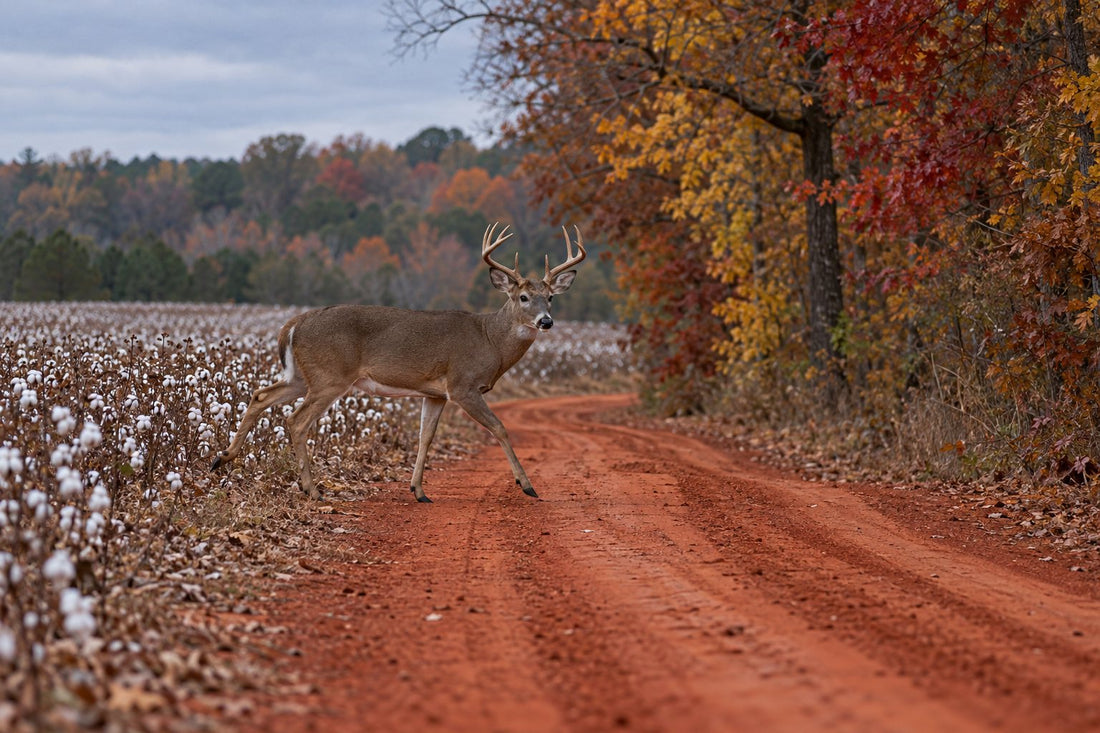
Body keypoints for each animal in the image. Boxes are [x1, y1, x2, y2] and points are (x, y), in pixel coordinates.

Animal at [210, 222, 586, 503]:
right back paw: (311, 489)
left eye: (550, 298)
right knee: (296, 420)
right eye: (523, 297)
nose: (546, 321)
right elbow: (500, 427)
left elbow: (425, 437)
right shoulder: (462, 385)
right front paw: (527, 485)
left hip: (301, 375)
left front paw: (418, 490)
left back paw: (222, 458)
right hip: (330, 376)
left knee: (260, 395)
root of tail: (293, 324)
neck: (490, 340)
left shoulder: (434, 393)